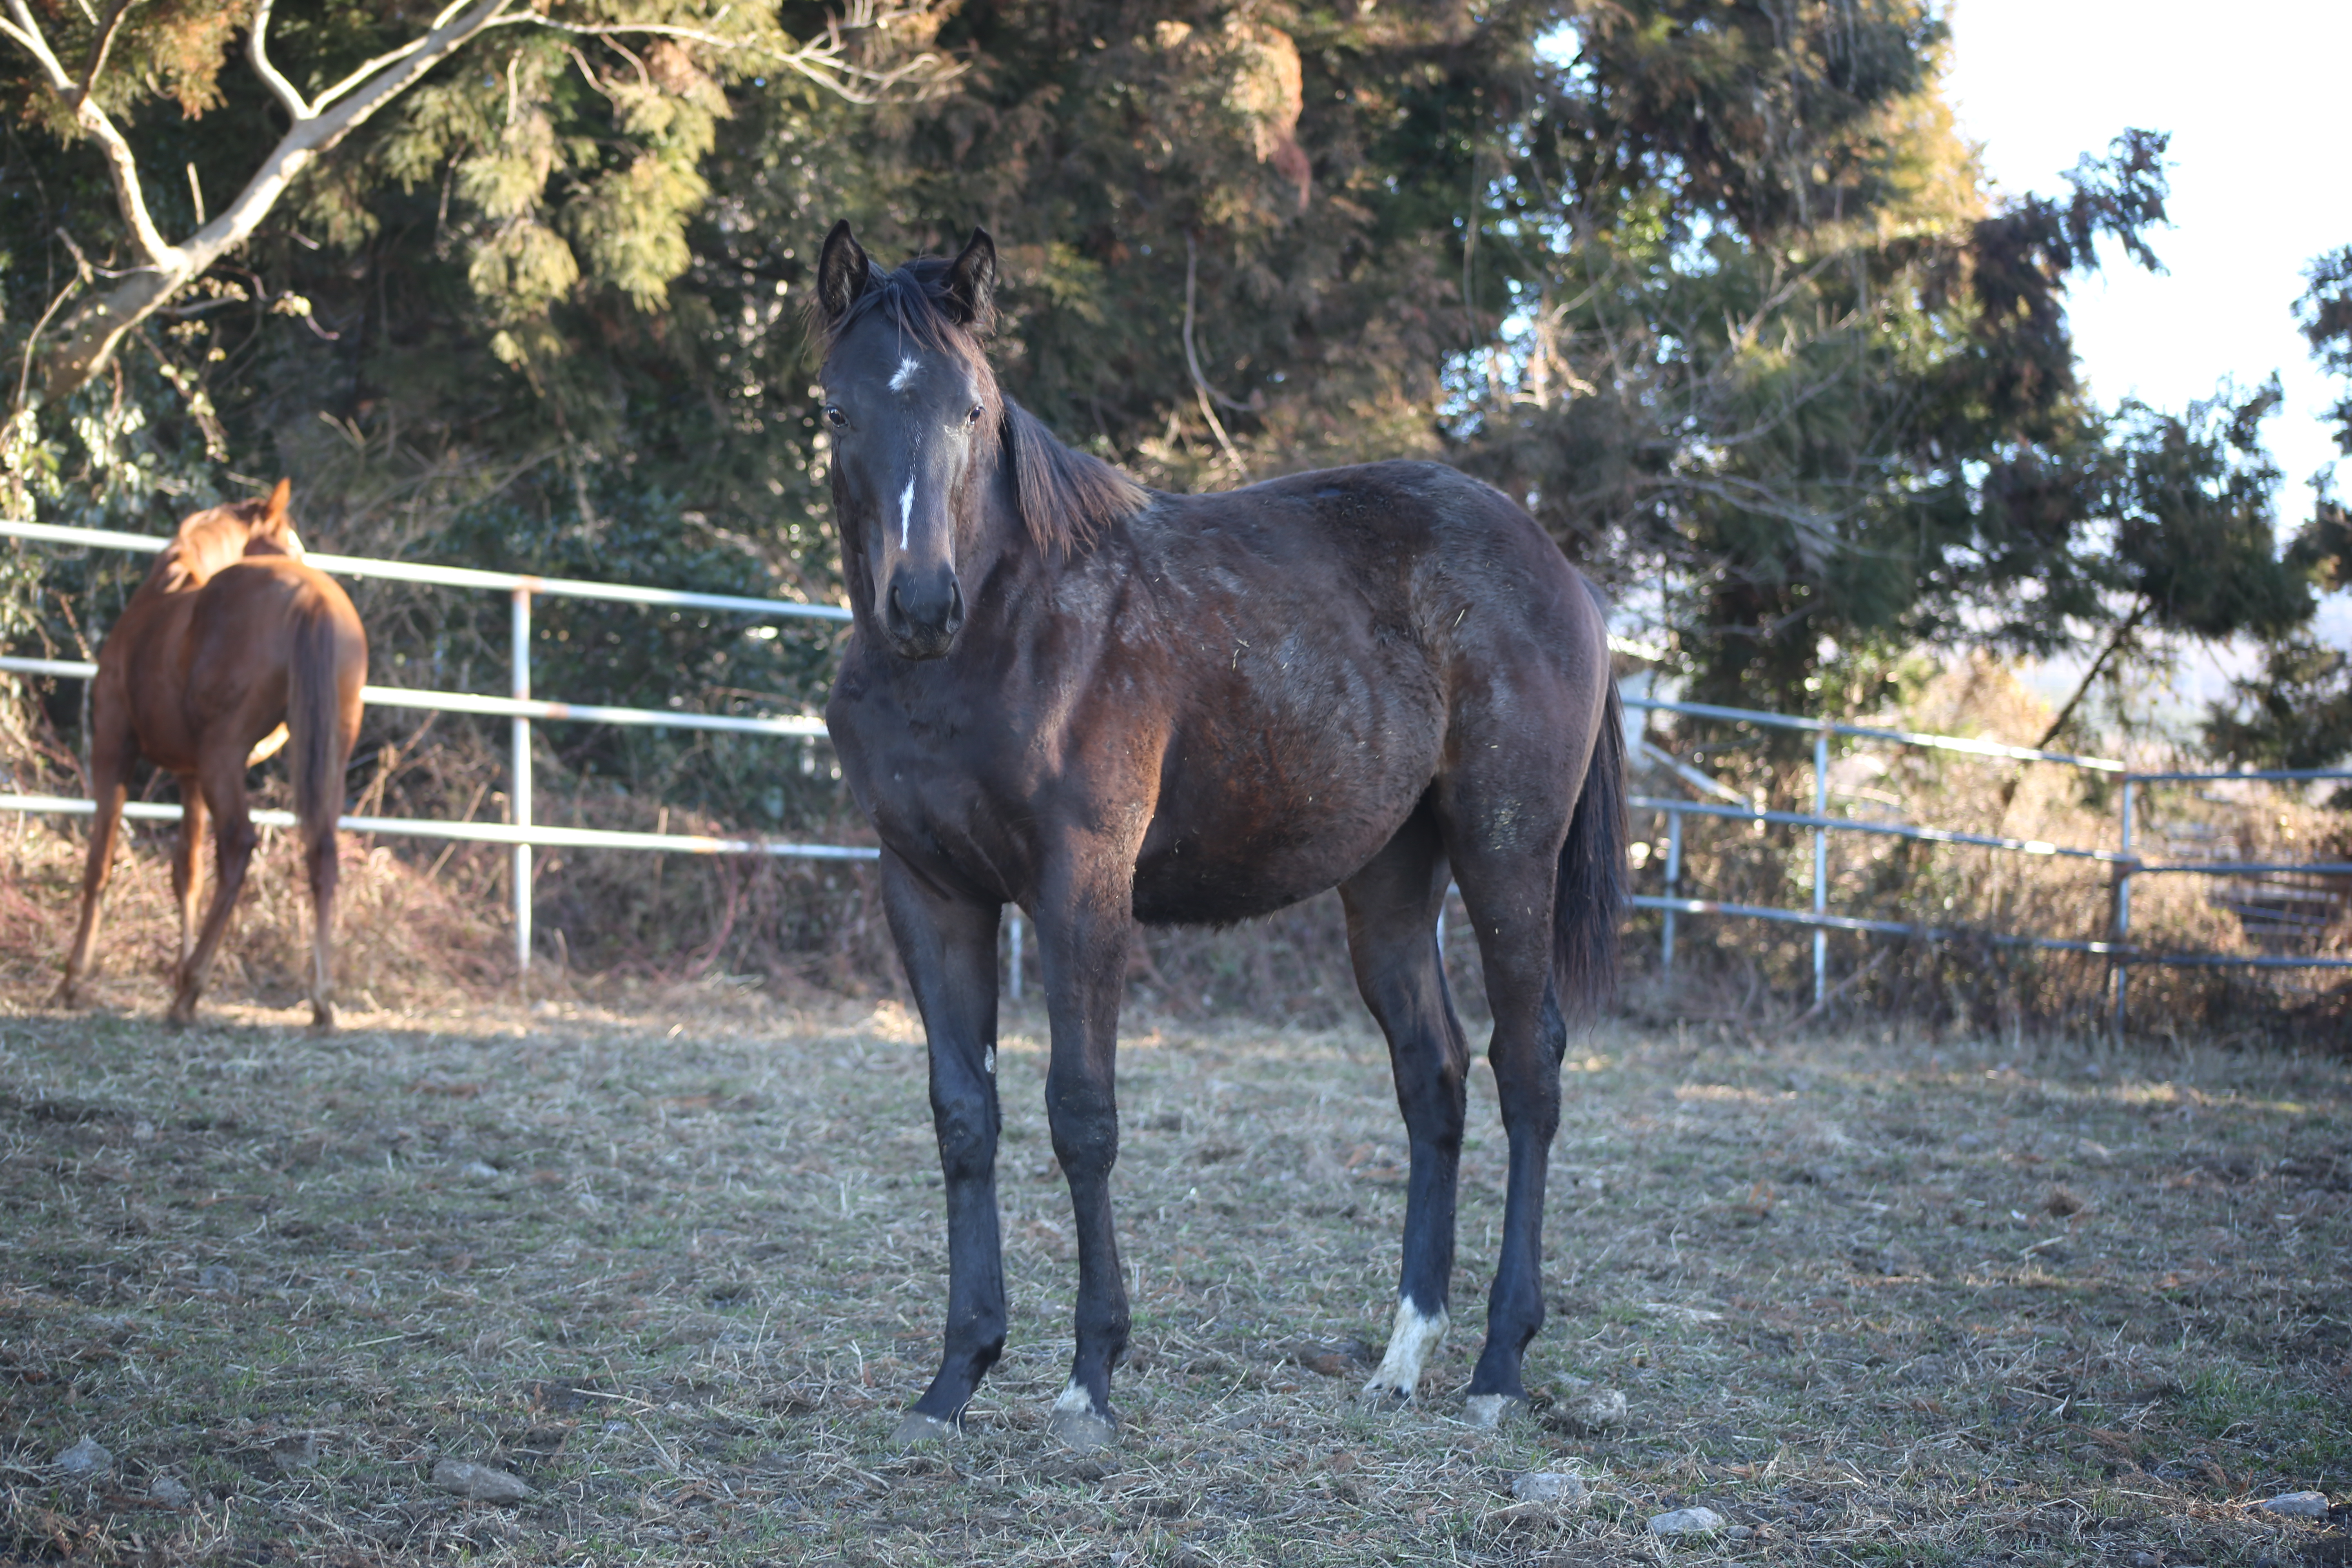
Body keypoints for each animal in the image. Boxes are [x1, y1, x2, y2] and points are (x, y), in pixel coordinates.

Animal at [56, 484, 367, 1034]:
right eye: (289, 543)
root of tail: (310, 596)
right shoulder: (190, 774)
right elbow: (187, 873)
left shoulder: (115, 749)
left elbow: (99, 863)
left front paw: (74, 978)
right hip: (326, 754)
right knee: (322, 851)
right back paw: (320, 998)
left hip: (225, 754)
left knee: (239, 845)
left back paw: (190, 992)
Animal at [818, 223, 1627, 1457]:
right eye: (837, 409)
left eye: (971, 407)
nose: (919, 605)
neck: (1004, 632)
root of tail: (1561, 571)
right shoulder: (926, 890)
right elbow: (965, 1119)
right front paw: (954, 1379)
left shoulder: (1081, 887)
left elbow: (1081, 1113)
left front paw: (1089, 1380)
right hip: (1391, 880)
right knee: (1432, 1074)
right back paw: (1402, 1359)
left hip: (1507, 855)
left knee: (1527, 1069)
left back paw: (1498, 1365)